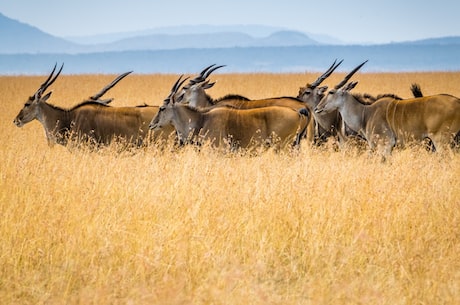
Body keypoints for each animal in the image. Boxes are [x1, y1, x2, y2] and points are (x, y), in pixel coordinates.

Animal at [314, 79, 460, 158]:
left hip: (441, 141)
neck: (365, 113)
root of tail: (458, 102)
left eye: (331, 92)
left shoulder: (384, 145)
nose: (317, 108)